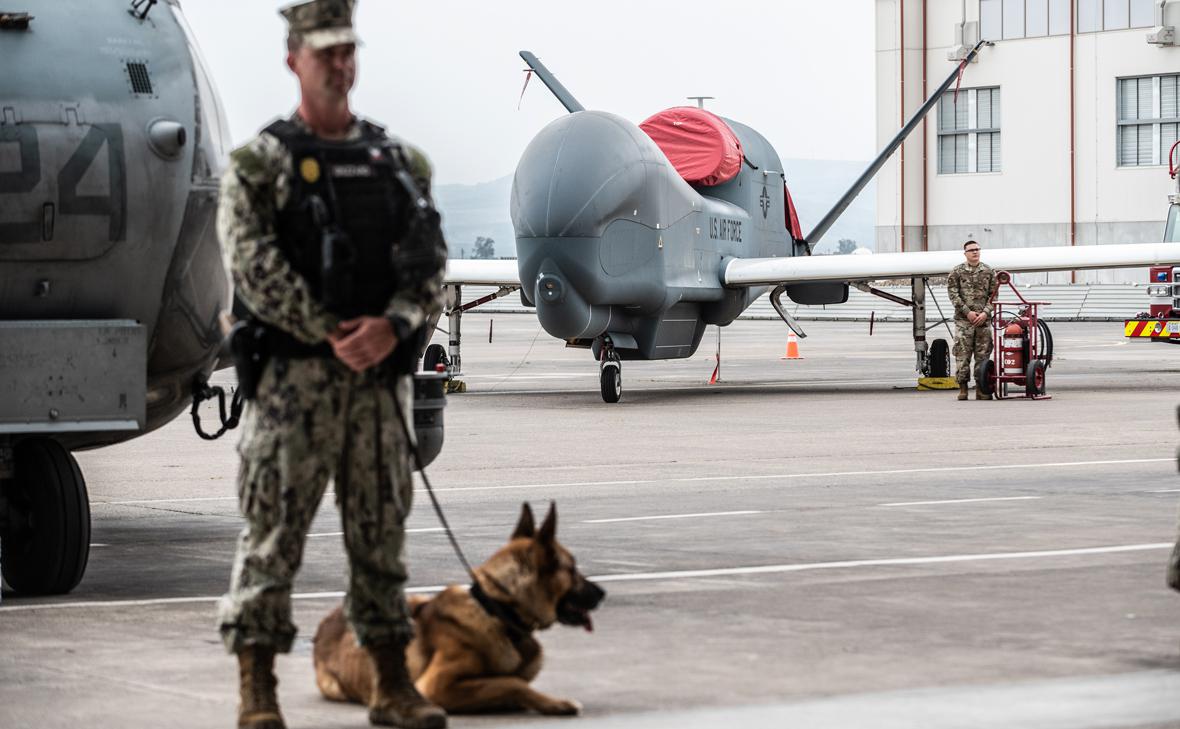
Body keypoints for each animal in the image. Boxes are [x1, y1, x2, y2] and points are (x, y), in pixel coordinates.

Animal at [311, 502, 604, 712]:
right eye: (572, 569)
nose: (602, 593)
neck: (496, 612)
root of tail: (324, 625)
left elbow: (512, 680)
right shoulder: (435, 686)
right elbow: (513, 682)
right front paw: (556, 703)